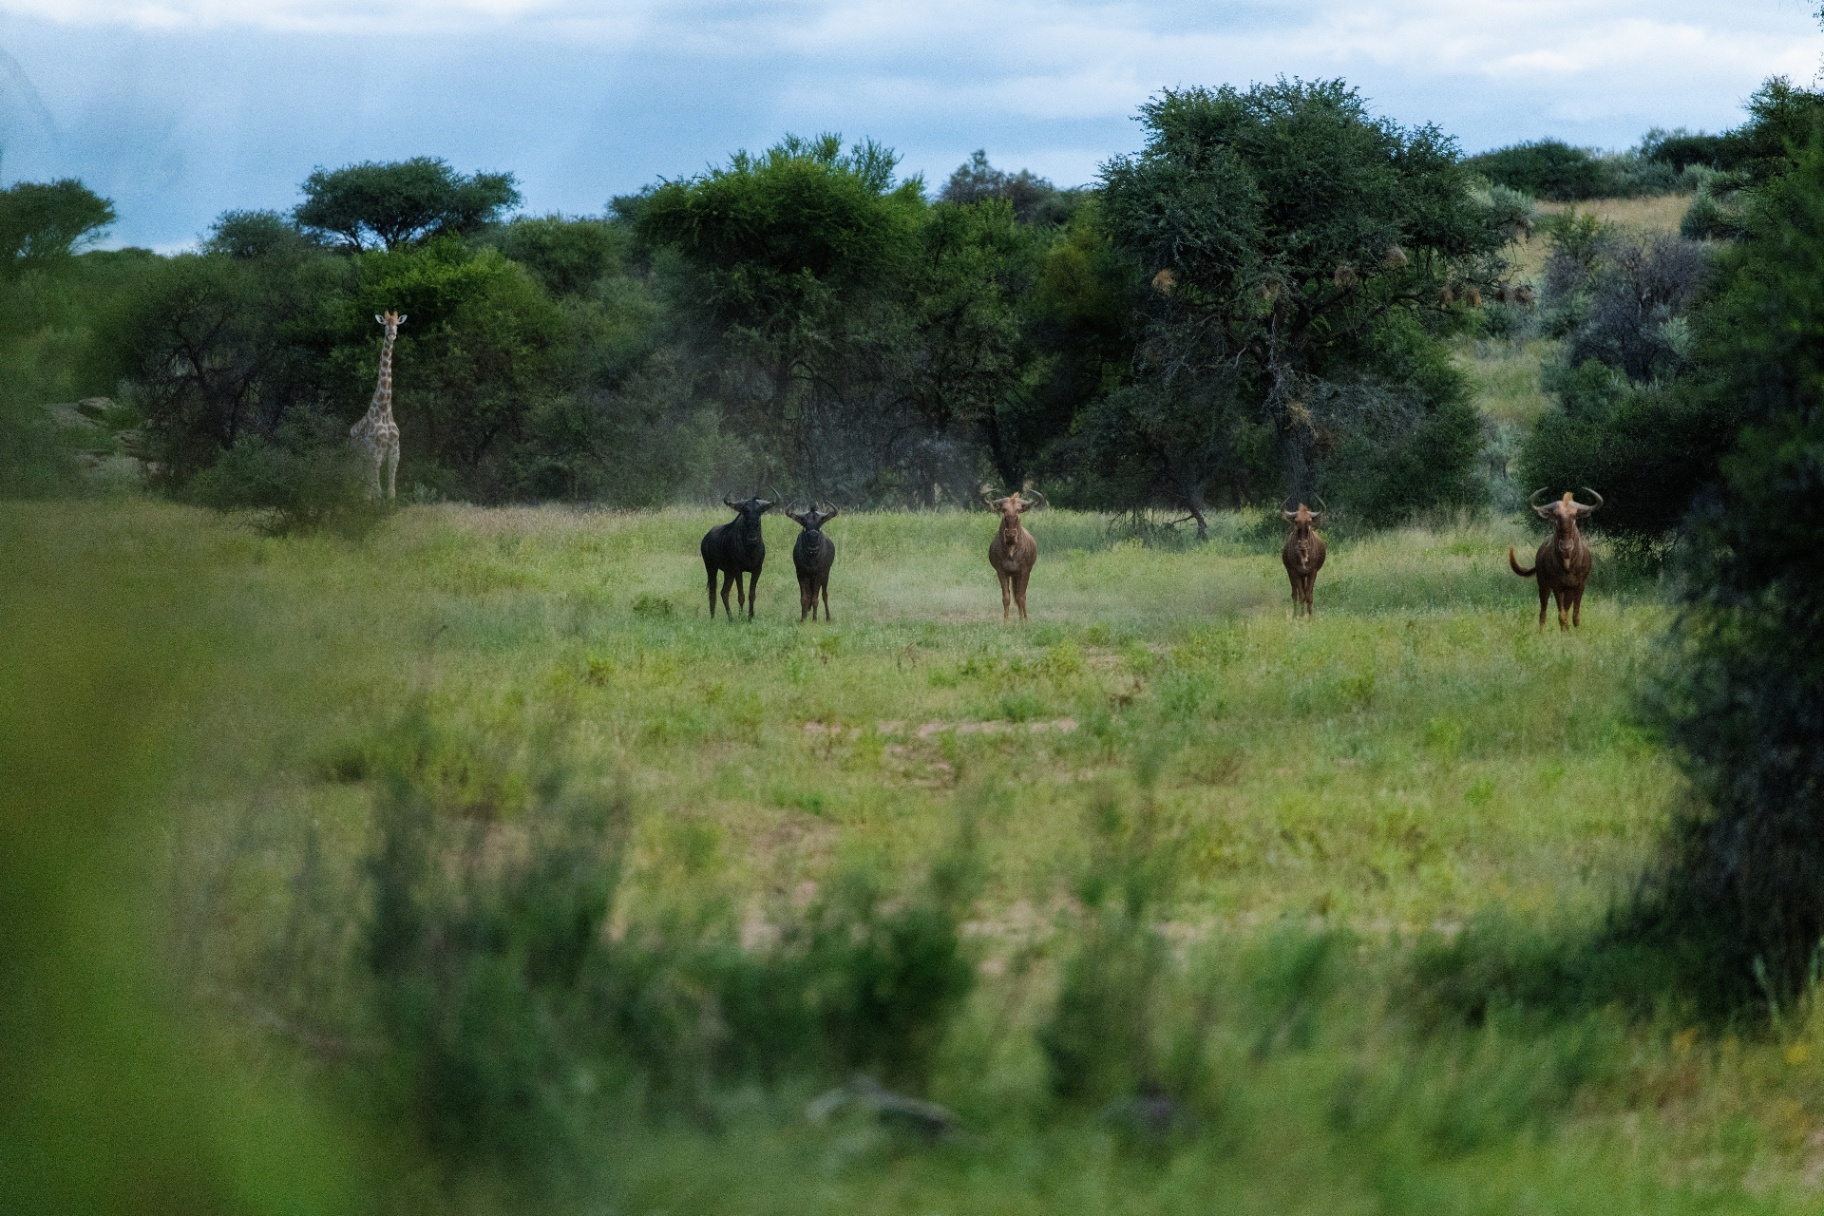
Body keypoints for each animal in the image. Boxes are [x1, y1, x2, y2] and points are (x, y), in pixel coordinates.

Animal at [351, 310, 406, 500]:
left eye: (397, 324)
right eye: (385, 324)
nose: (392, 334)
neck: (383, 410)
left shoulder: (394, 450)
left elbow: (391, 492)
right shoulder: (375, 452)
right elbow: (378, 492)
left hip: (365, 460)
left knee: (362, 485)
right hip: (357, 457)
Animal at [983, 486, 1042, 621]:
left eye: (1019, 510)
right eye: (1004, 509)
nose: (1010, 534)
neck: (1011, 550)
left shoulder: (1024, 571)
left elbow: (1020, 597)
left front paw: (1023, 621)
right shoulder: (1001, 572)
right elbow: (1006, 598)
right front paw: (1005, 622)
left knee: (1022, 596)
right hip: (1013, 576)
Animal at [1509, 487, 1602, 630]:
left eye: (1574, 515)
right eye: (1556, 515)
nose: (1566, 546)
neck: (1568, 564)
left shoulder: (1579, 586)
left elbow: (1575, 616)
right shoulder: (1557, 587)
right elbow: (1562, 615)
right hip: (1543, 585)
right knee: (1543, 612)